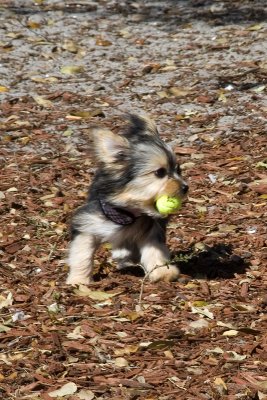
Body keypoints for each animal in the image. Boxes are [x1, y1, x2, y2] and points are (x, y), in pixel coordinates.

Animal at [66, 114, 188, 286]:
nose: (185, 187)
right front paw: (78, 279)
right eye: (160, 172)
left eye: (179, 170)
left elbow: (154, 249)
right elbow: (82, 252)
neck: (128, 213)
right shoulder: (87, 223)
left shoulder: (151, 228)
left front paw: (162, 271)